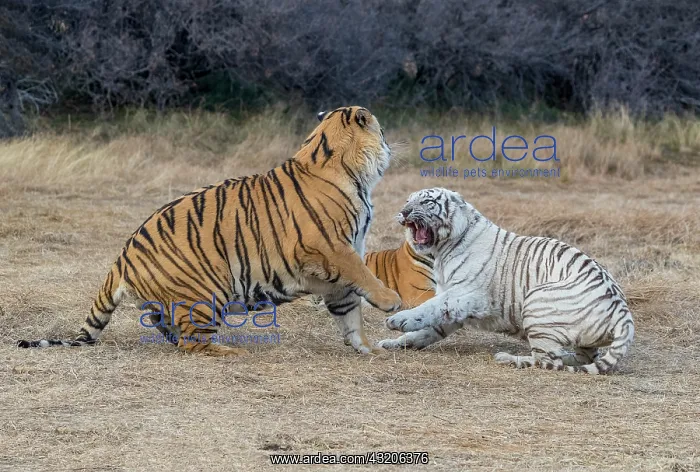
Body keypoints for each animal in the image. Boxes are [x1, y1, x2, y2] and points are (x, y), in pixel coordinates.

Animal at [17, 106, 402, 356]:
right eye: (382, 130)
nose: (391, 142)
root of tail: (121, 258)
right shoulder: (332, 247)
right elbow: (363, 277)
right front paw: (390, 301)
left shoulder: (335, 264)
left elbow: (348, 310)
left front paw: (368, 349)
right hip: (205, 292)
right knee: (193, 343)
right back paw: (232, 351)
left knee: (171, 332)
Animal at [378, 187, 635, 374]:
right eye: (408, 200)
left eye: (426, 202)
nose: (404, 212)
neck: (442, 249)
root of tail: (622, 311)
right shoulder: (454, 304)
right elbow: (429, 327)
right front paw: (396, 342)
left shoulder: (466, 294)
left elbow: (429, 306)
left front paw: (398, 320)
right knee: (582, 356)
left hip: (536, 302)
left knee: (549, 361)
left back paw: (509, 358)